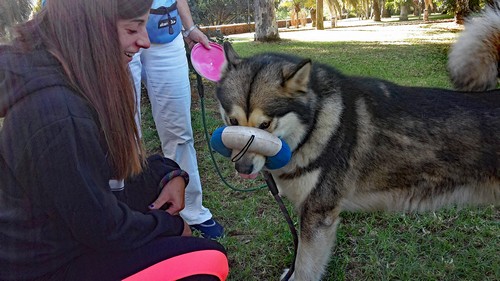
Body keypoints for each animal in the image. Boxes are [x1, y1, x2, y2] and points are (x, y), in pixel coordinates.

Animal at [215, 40, 500, 278]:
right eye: (233, 122)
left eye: (265, 125)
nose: (242, 168)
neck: (317, 123)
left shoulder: (318, 215)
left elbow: (305, 267)